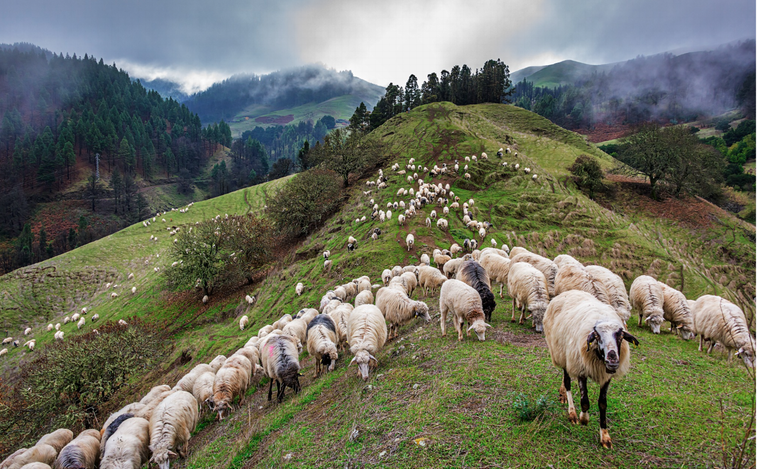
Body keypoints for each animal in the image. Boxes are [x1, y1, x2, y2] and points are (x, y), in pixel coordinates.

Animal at [544, 290, 644, 448]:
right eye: (596, 336)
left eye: (621, 336)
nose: (612, 360)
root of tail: (568, 292)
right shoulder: (580, 368)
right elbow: (584, 400)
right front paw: (583, 418)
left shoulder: (606, 376)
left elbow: (602, 403)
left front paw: (605, 436)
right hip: (563, 354)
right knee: (567, 381)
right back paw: (571, 412)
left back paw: (562, 394)